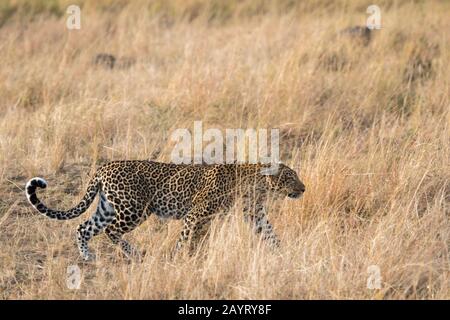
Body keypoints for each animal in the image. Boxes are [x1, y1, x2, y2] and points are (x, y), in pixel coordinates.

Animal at [24, 161, 306, 262]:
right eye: (291, 177)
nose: (304, 188)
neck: (256, 185)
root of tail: (104, 166)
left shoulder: (255, 215)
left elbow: (270, 234)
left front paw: (283, 253)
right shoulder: (195, 215)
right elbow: (186, 239)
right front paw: (179, 258)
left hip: (108, 207)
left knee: (83, 227)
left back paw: (87, 256)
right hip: (134, 209)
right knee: (111, 231)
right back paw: (135, 253)